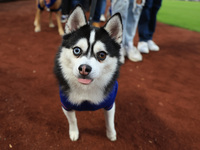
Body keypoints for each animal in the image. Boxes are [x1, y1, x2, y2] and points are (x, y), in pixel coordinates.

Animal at [54, 5, 122, 141]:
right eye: (77, 50)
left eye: (102, 55)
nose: (84, 68)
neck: (86, 89)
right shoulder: (66, 105)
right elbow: (72, 120)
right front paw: (74, 132)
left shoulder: (110, 103)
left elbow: (110, 121)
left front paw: (111, 134)